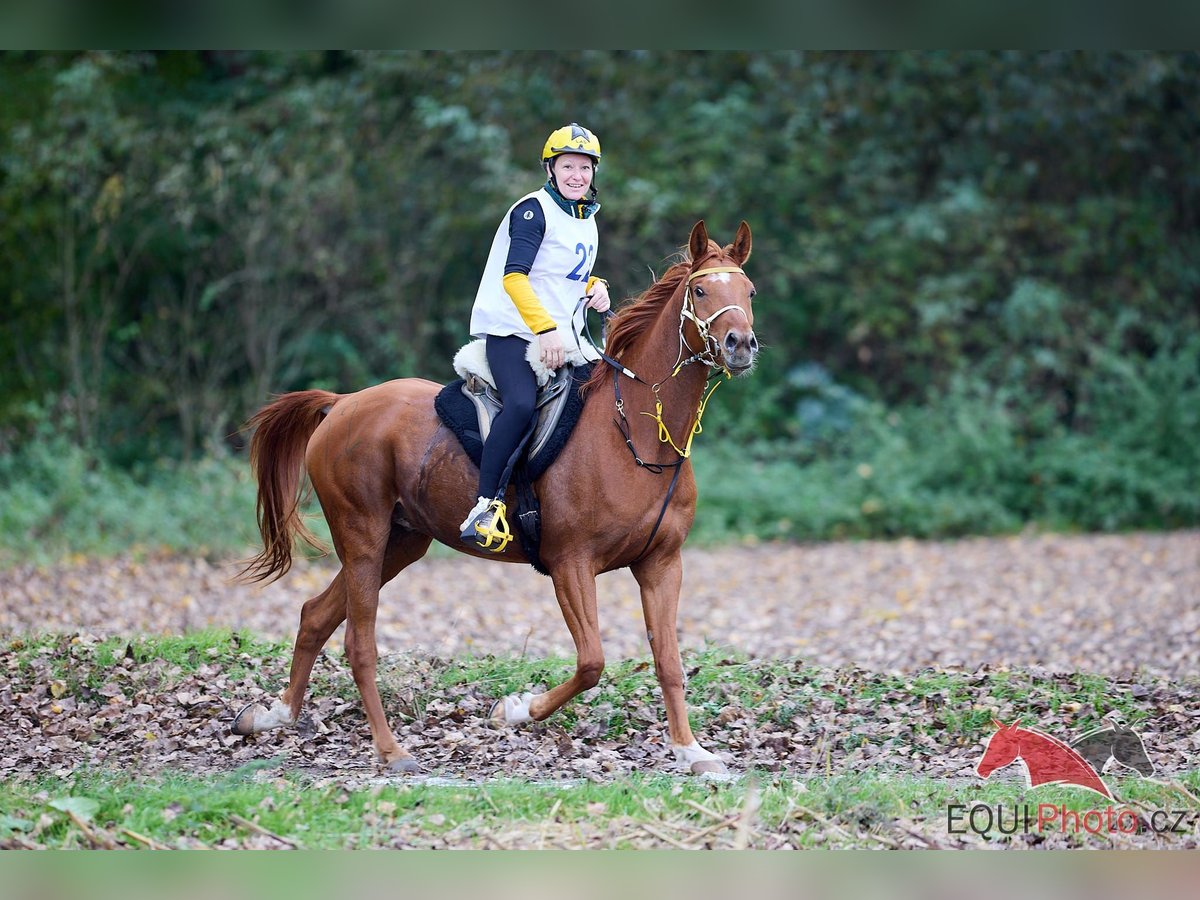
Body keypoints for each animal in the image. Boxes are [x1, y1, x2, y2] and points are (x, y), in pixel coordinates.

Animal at [231, 220, 758, 777]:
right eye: (700, 292)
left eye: (748, 291)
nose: (740, 344)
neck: (635, 432)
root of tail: (342, 404)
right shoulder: (571, 563)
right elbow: (592, 662)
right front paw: (516, 709)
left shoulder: (661, 564)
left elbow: (669, 661)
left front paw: (691, 751)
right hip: (363, 537)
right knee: (358, 641)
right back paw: (391, 750)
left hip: (400, 543)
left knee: (316, 615)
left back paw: (272, 716)